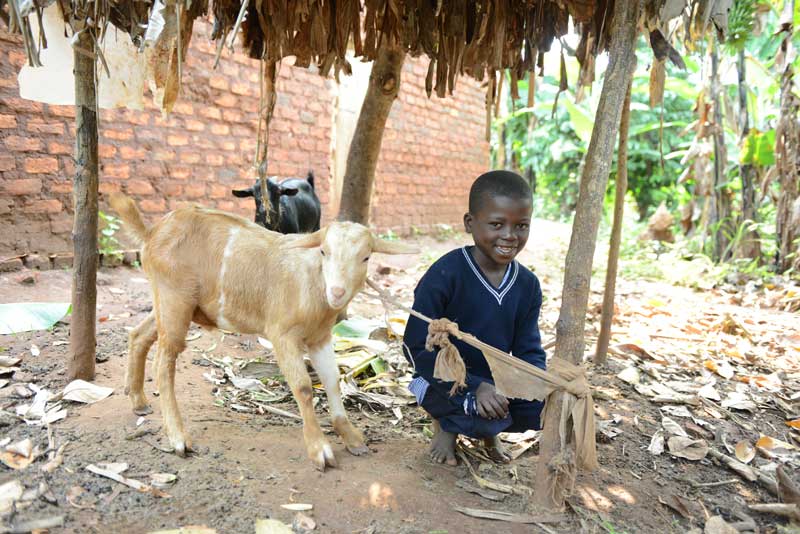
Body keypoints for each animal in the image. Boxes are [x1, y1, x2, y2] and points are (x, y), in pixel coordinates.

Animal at [109, 194, 415, 470]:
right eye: (323, 252)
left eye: (366, 257)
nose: (337, 292)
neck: (312, 281)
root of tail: (152, 233)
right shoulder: (282, 334)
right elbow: (303, 387)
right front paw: (320, 449)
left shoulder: (321, 337)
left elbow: (332, 380)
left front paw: (350, 436)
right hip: (175, 298)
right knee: (164, 362)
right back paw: (178, 438)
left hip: (169, 300)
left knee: (138, 335)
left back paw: (138, 400)